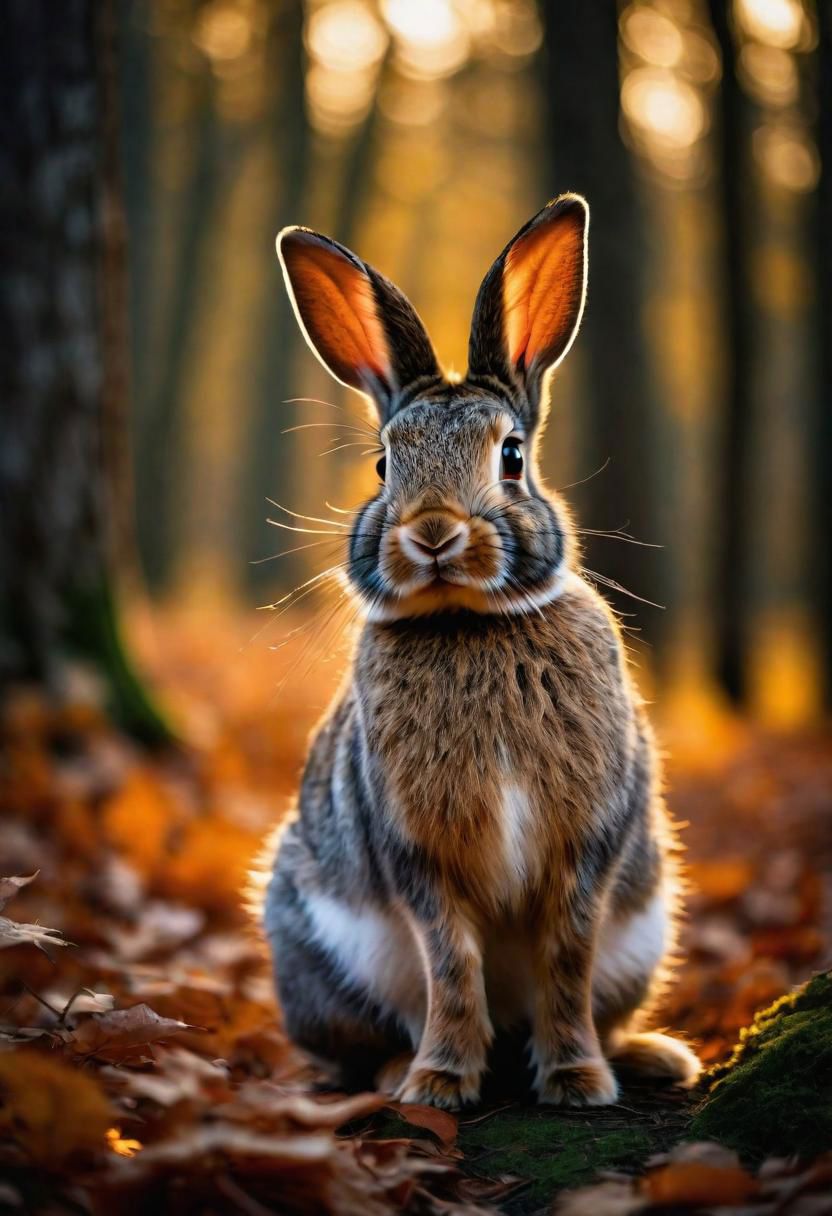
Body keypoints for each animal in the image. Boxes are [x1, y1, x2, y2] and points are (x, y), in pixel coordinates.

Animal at [262, 194, 701, 1109]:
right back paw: (397, 1071)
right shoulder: (418, 851)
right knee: (354, 1042)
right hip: (312, 948)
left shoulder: (585, 845)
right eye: (382, 464)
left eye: (513, 456)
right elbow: (450, 962)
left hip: (646, 935)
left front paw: (576, 1080)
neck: (471, 621)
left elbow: (565, 962)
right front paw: (438, 1082)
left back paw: (650, 1057)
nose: (432, 532)